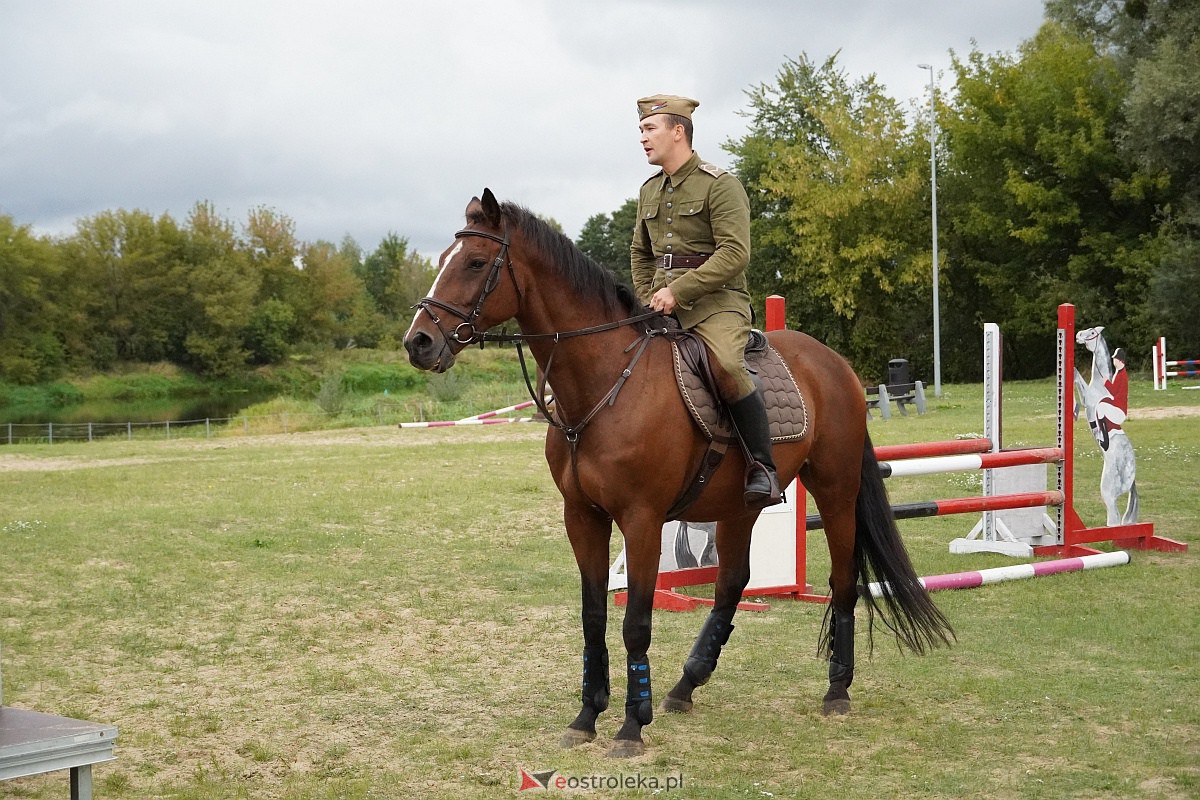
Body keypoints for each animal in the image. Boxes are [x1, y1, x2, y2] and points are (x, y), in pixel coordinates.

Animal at [408, 188, 950, 758]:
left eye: (474, 262)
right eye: (442, 259)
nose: (417, 343)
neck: (605, 381)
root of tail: (835, 364)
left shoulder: (642, 520)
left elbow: (635, 623)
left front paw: (630, 725)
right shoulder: (582, 517)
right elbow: (594, 618)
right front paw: (586, 716)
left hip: (836, 489)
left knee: (843, 581)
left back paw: (837, 688)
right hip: (740, 506)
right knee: (732, 584)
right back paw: (686, 684)